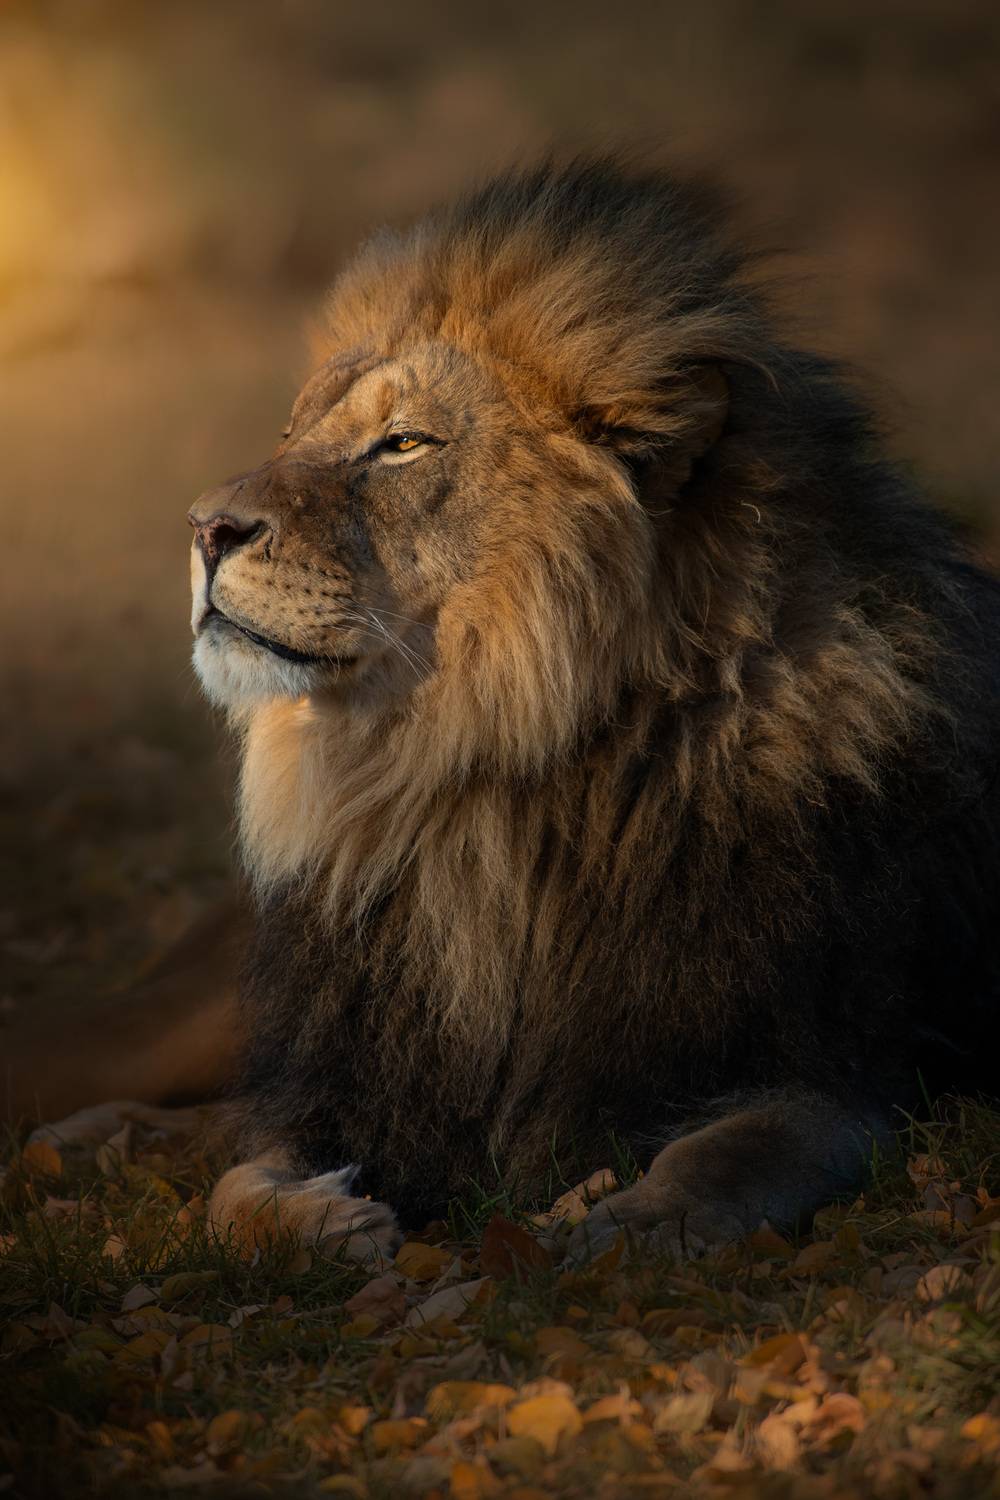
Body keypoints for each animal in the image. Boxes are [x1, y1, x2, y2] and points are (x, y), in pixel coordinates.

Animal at [12, 159, 1000, 1264]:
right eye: (292, 436)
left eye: (401, 444)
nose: (202, 528)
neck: (479, 781)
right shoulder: (346, 1073)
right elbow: (240, 1181)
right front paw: (324, 1222)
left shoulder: (837, 1063)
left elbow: (730, 1154)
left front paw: (621, 1226)